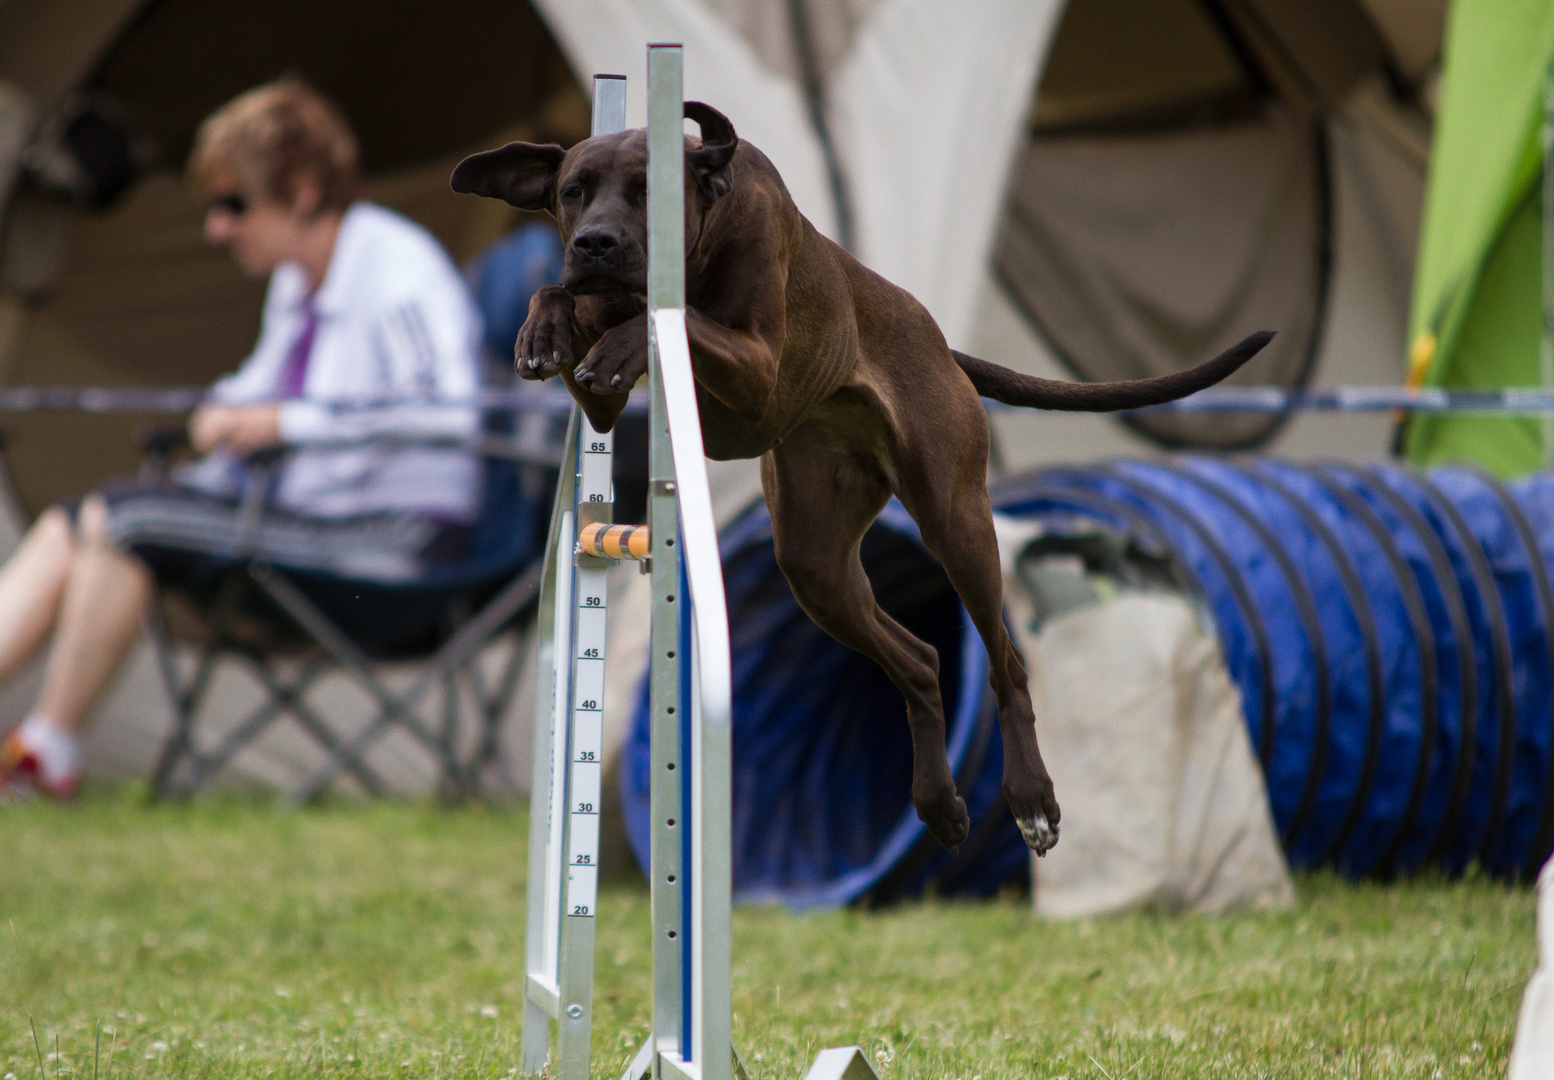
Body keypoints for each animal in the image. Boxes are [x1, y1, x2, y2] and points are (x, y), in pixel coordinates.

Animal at [453, 105, 1274, 857]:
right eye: (572, 192)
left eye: (647, 189)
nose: (593, 242)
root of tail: (943, 346)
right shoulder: (602, 398)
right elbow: (568, 309)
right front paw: (543, 325)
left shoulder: (754, 363)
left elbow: (675, 318)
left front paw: (624, 328)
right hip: (816, 561)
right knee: (921, 661)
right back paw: (939, 802)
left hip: (957, 522)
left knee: (1007, 663)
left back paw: (1032, 799)